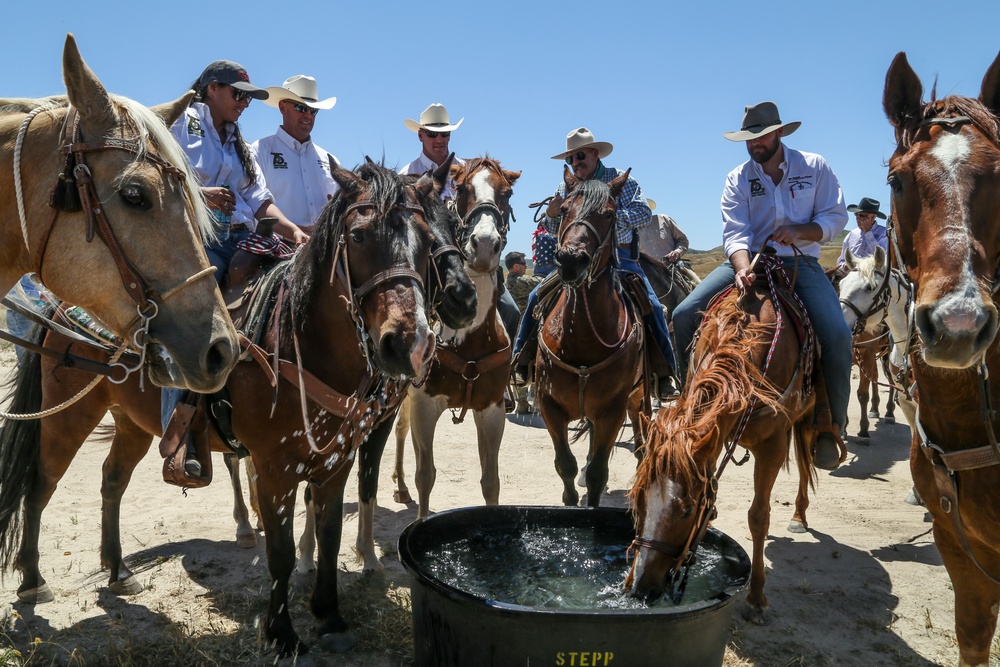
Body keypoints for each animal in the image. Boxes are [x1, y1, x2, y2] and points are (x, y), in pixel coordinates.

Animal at [0, 160, 446, 656]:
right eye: (359, 235)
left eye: (428, 240)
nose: (408, 344)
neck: (296, 343)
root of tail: (59, 307)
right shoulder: (274, 470)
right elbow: (281, 553)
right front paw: (282, 633)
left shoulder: (336, 465)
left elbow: (329, 538)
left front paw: (329, 617)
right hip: (66, 416)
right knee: (40, 486)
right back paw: (33, 580)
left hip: (131, 423)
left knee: (112, 481)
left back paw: (118, 571)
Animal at [532, 167, 648, 506]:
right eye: (563, 209)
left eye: (610, 214)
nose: (571, 260)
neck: (581, 335)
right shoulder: (549, 405)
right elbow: (565, 465)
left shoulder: (613, 409)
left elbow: (599, 473)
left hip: (637, 398)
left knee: (640, 440)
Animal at [624, 252, 820, 628]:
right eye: (638, 500)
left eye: (685, 511)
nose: (639, 589)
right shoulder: (709, 441)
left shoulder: (772, 445)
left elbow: (759, 517)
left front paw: (756, 599)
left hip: (807, 418)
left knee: (805, 463)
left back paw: (800, 516)